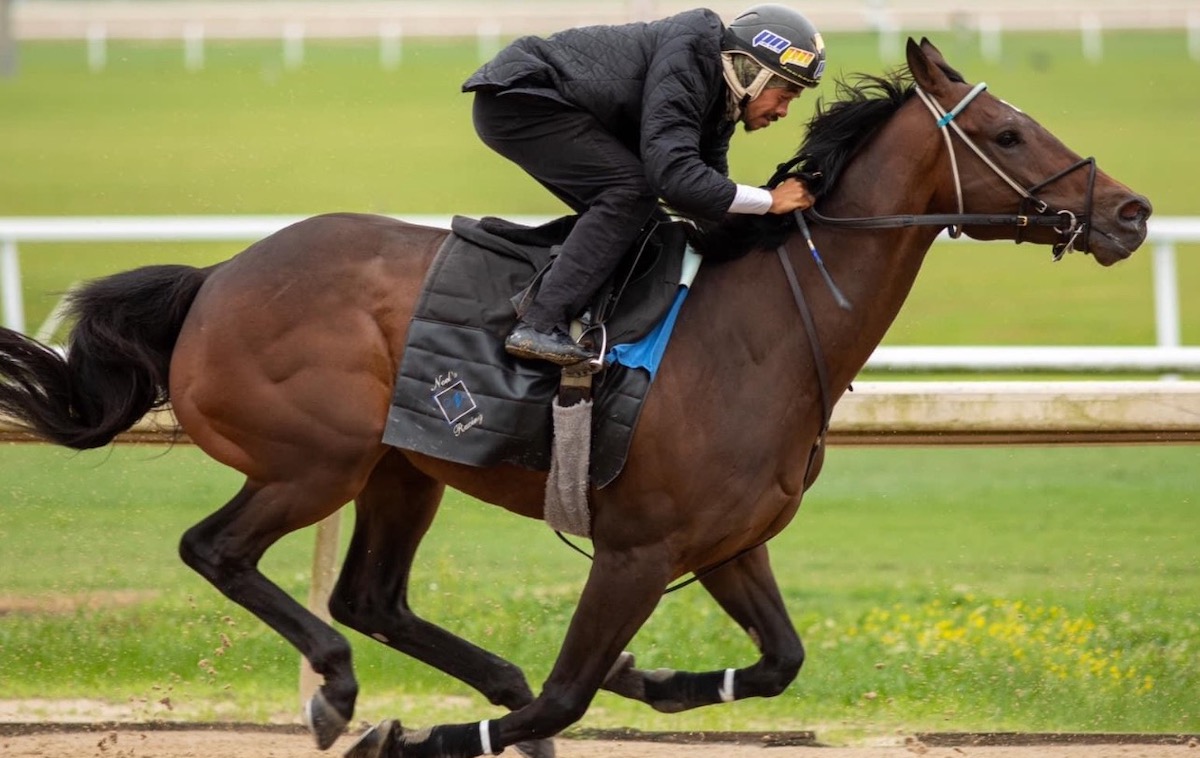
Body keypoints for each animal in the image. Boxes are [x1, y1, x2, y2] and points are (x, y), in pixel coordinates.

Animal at [0, 39, 1147, 758]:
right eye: (1009, 135)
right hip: (313, 460)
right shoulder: (636, 549)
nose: (1130, 212)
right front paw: (428, 732)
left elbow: (779, 660)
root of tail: (217, 279)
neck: (769, 326)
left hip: (403, 467)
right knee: (222, 552)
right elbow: (569, 688)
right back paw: (340, 692)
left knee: (372, 596)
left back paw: (465, 680)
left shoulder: (727, 544)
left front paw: (659, 681)